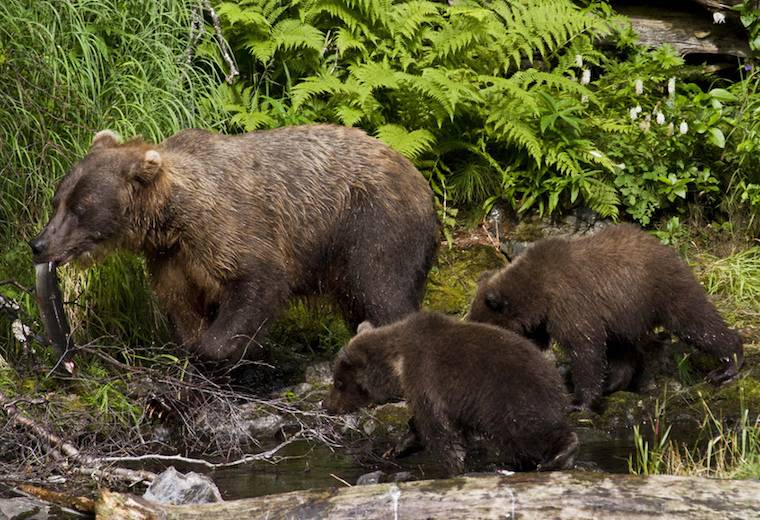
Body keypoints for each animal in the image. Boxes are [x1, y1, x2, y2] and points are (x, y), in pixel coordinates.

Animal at [29, 125, 438, 363]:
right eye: (57, 200)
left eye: (81, 208)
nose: (39, 243)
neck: (172, 218)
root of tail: (422, 180)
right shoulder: (171, 257)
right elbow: (181, 304)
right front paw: (192, 344)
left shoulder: (230, 229)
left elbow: (258, 283)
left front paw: (228, 347)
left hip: (371, 225)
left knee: (382, 290)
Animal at [322, 312, 579, 475]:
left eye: (339, 382)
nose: (327, 405)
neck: (398, 363)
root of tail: (557, 379)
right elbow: (424, 424)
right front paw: (397, 448)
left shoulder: (426, 376)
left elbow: (440, 429)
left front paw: (453, 466)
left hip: (510, 399)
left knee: (528, 431)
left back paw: (559, 454)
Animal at [468, 223, 744, 411]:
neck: (538, 294)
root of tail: (664, 246)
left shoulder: (571, 303)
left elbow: (585, 348)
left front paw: (579, 401)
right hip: (624, 312)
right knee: (624, 348)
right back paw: (613, 382)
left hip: (660, 289)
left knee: (695, 320)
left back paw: (727, 365)